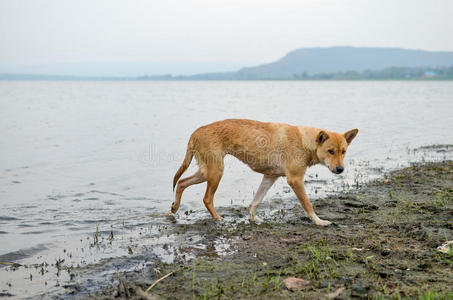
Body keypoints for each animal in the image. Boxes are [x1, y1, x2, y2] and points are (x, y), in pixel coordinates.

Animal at [166, 118, 356, 226]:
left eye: (343, 151)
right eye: (330, 151)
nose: (340, 169)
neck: (305, 141)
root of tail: (195, 132)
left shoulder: (270, 177)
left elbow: (256, 201)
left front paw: (252, 218)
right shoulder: (295, 180)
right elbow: (308, 205)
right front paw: (319, 222)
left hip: (205, 172)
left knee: (181, 183)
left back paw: (174, 208)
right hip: (215, 172)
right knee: (206, 199)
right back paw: (218, 218)